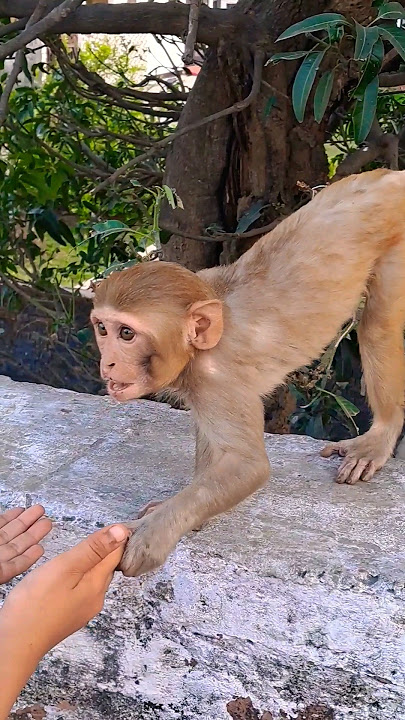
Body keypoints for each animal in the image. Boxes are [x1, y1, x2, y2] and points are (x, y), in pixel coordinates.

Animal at [91, 168, 405, 577]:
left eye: (126, 334)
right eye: (102, 329)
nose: (108, 362)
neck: (198, 345)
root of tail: (388, 177)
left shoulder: (216, 381)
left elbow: (248, 466)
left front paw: (154, 532)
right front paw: (186, 513)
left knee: (378, 323)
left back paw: (381, 435)